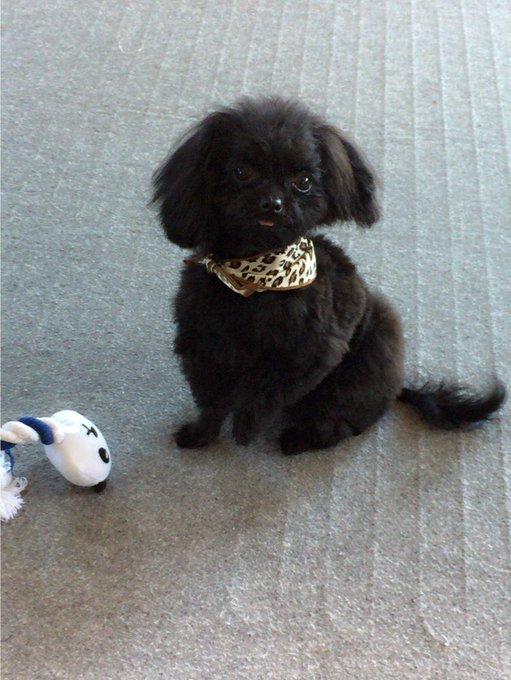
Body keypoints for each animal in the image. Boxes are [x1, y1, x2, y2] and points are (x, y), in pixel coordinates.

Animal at [152, 97, 505, 455]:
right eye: (241, 172)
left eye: (304, 182)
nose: (272, 204)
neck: (253, 278)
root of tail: (397, 390)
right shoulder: (202, 346)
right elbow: (211, 402)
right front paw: (200, 434)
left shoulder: (315, 352)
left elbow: (264, 385)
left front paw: (246, 425)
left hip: (362, 360)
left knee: (337, 424)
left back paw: (297, 440)